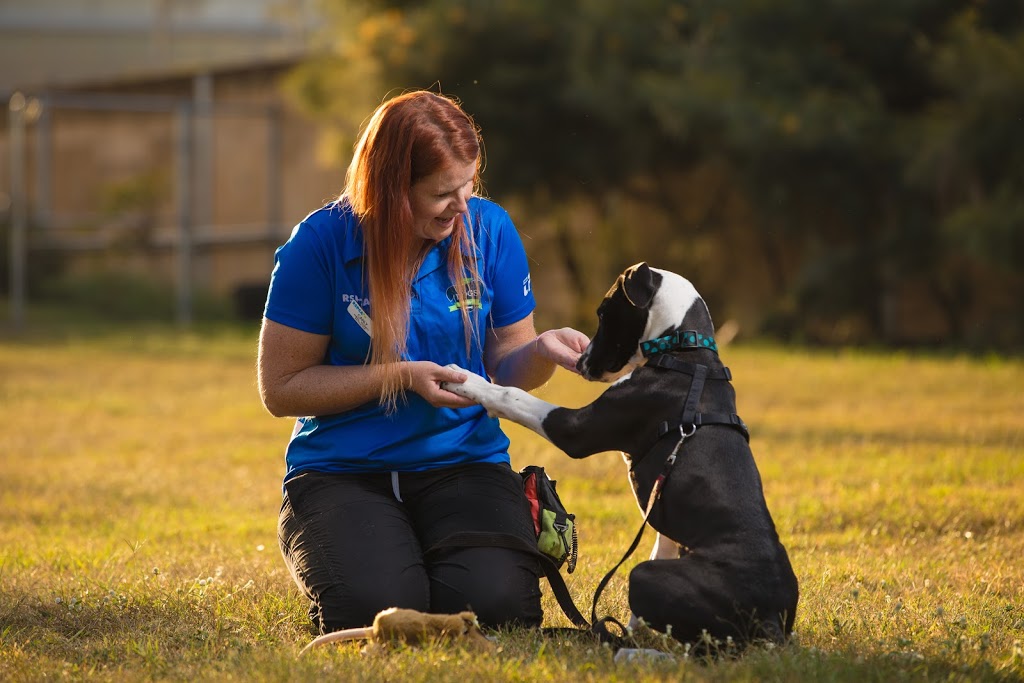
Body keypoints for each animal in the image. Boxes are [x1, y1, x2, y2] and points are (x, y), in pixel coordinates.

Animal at [446, 264, 798, 651]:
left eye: (603, 312)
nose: (582, 361)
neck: (683, 349)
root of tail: (771, 619)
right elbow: (661, 547)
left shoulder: (575, 430)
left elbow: (512, 395)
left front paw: (465, 381)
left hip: (644, 576)